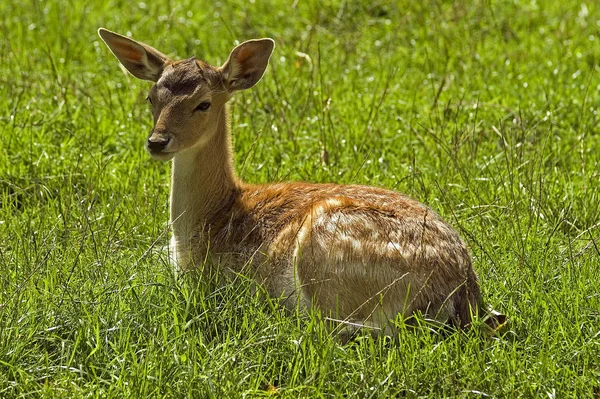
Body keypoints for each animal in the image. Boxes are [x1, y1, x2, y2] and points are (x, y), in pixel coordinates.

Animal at [97, 27, 492, 334]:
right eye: (151, 97)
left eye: (203, 103)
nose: (157, 141)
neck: (211, 217)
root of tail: (461, 291)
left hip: (324, 253)